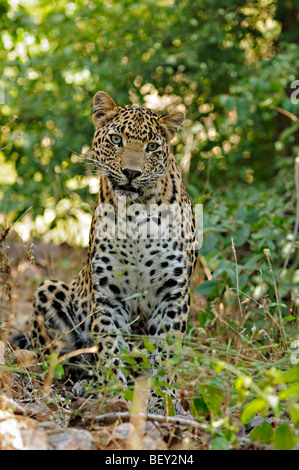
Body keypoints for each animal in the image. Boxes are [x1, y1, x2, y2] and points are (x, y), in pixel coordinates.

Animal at [31, 90, 199, 414]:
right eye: (117, 139)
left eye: (151, 147)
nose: (131, 173)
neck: (135, 213)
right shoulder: (108, 293)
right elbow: (109, 346)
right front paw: (113, 392)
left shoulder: (173, 293)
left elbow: (166, 350)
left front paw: (163, 399)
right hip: (50, 289)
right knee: (68, 363)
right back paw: (88, 385)